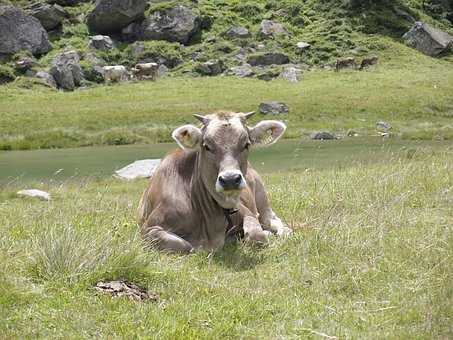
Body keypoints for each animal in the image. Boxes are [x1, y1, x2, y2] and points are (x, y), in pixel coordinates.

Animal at [138, 111, 292, 252]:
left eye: (246, 144)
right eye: (206, 146)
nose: (230, 179)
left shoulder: (246, 211)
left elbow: (257, 236)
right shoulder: (149, 229)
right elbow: (186, 246)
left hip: (262, 199)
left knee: (274, 222)